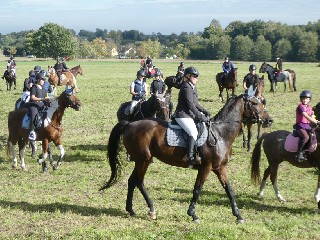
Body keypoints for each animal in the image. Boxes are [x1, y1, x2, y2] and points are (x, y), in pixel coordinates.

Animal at [99, 94, 272, 223]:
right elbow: (197, 189)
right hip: (144, 160)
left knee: (132, 181)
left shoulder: (220, 167)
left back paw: (131, 210)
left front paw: (238, 215)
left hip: (142, 160)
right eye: (254, 103)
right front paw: (193, 214)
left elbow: (229, 190)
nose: (269, 120)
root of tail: (130, 124)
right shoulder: (206, 167)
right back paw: (151, 210)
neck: (220, 133)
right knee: (139, 182)